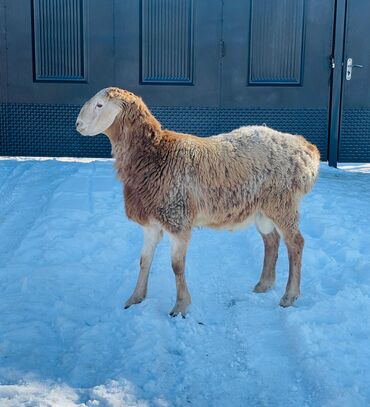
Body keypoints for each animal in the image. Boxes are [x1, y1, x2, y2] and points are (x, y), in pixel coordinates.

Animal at [76, 87, 320, 318]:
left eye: (99, 105)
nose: (78, 124)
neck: (155, 155)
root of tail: (307, 149)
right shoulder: (151, 223)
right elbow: (144, 261)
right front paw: (135, 299)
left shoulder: (177, 220)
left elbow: (176, 266)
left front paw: (180, 307)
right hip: (262, 209)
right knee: (271, 241)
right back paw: (263, 285)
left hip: (283, 202)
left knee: (295, 243)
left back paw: (289, 296)